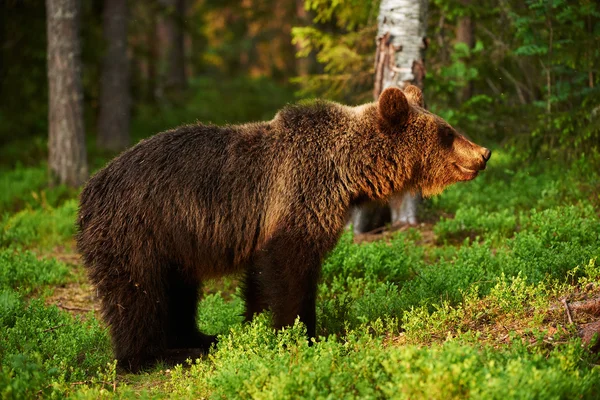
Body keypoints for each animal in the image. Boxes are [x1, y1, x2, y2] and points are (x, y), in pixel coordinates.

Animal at [76, 84, 488, 372]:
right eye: (447, 133)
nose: (483, 153)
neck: (348, 173)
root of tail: (89, 188)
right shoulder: (298, 194)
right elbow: (285, 271)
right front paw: (295, 332)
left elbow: (273, 279)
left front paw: (264, 327)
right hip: (138, 229)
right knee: (137, 295)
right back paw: (153, 356)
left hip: (175, 242)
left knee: (179, 291)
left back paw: (200, 337)